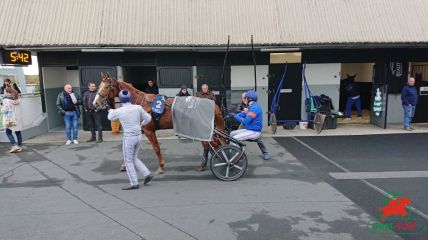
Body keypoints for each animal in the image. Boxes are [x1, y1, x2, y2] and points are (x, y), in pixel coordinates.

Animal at [93, 72, 227, 173]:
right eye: (99, 86)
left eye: (106, 87)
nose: (95, 103)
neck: (141, 103)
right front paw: (124, 165)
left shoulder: (149, 130)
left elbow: (156, 148)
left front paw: (161, 166)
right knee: (211, 144)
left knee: (213, 143)